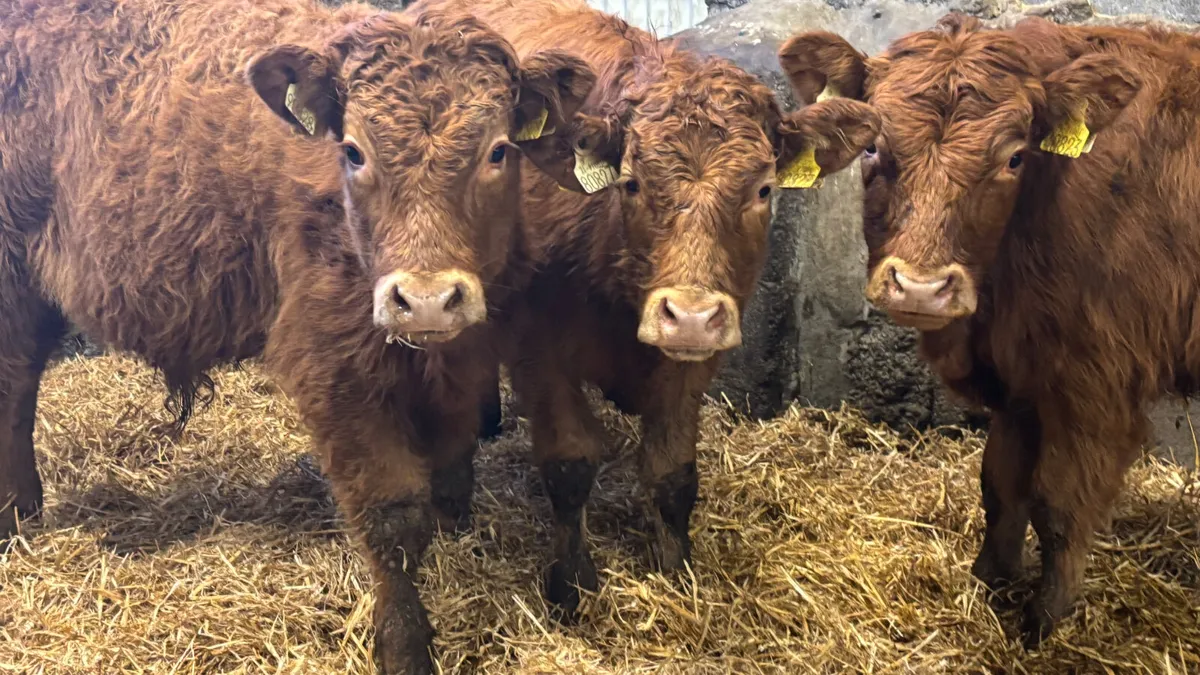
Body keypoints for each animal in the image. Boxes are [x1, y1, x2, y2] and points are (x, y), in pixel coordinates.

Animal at [0, 0, 597, 671]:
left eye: (498, 151)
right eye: (354, 151)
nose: (424, 299)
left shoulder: (467, 359)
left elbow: (449, 468)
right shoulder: (334, 368)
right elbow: (393, 515)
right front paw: (405, 644)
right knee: (14, 388)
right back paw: (17, 515)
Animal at [407, 0, 881, 617]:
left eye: (762, 190)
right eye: (631, 184)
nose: (691, 313)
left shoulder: (695, 358)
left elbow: (671, 469)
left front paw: (677, 571)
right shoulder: (540, 352)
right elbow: (569, 464)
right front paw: (571, 586)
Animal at [779, 14, 1200, 646]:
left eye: (1015, 158)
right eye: (873, 146)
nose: (921, 287)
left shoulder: (1096, 384)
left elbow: (1059, 507)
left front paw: (1043, 623)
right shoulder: (1021, 378)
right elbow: (1000, 488)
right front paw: (988, 584)